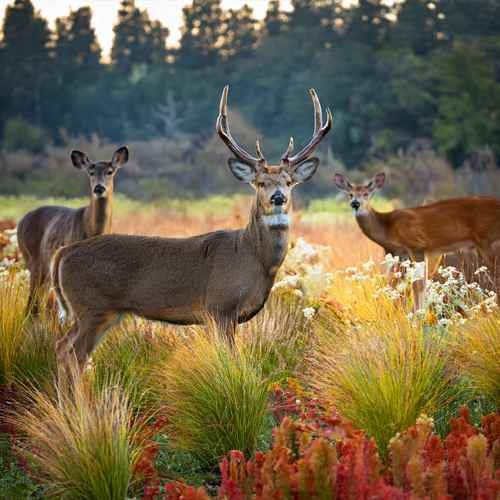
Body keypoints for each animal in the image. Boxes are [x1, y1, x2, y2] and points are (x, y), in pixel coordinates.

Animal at [18, 146, 129, 314]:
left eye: (110, 171)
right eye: (91, 172)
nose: (99, 188)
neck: (92, 230)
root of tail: (21, 221)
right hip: (31, 259)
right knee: (32, 300)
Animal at [51, 85, 332, 368]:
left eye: (288, 182)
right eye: (260, 182)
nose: (278, 198)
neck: (253, 258)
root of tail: (62, 254)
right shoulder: (220, 307)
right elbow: (230, 360)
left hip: (99, 313)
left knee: (63, 347)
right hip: (92, 308)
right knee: (73, 354)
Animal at [334, 174, 500, 310]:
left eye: (366, 194)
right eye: (350, 194)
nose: (356, 204)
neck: (388, 228)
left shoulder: (417, 246)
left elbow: (418, 284)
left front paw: (418, 317)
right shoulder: (408, 254)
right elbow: (413, 284)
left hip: (489, 241)